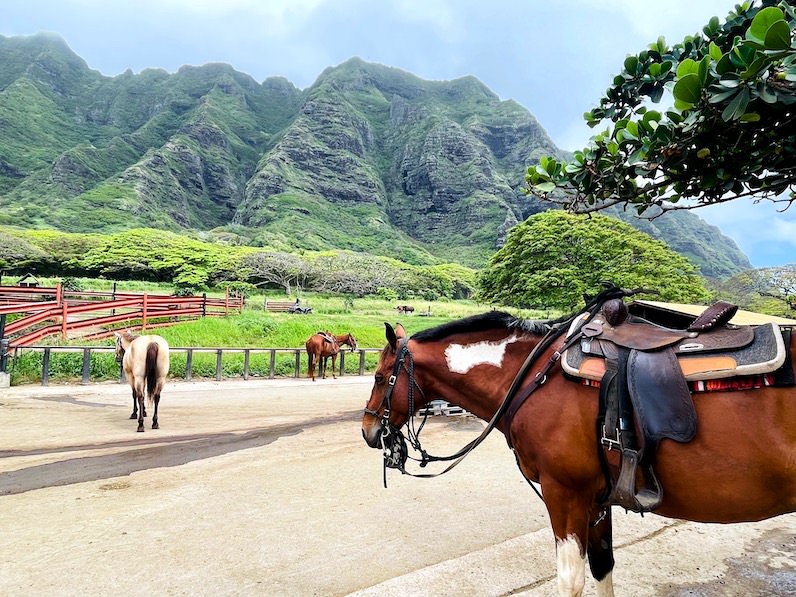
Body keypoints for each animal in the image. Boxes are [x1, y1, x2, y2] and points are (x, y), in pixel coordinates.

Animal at [362, 284, 796, 596]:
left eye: (381, 378)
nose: (369, 431)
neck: (535, 374)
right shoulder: (598, 497)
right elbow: (603, 567)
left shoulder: (565, 493)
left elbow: (570, 580)